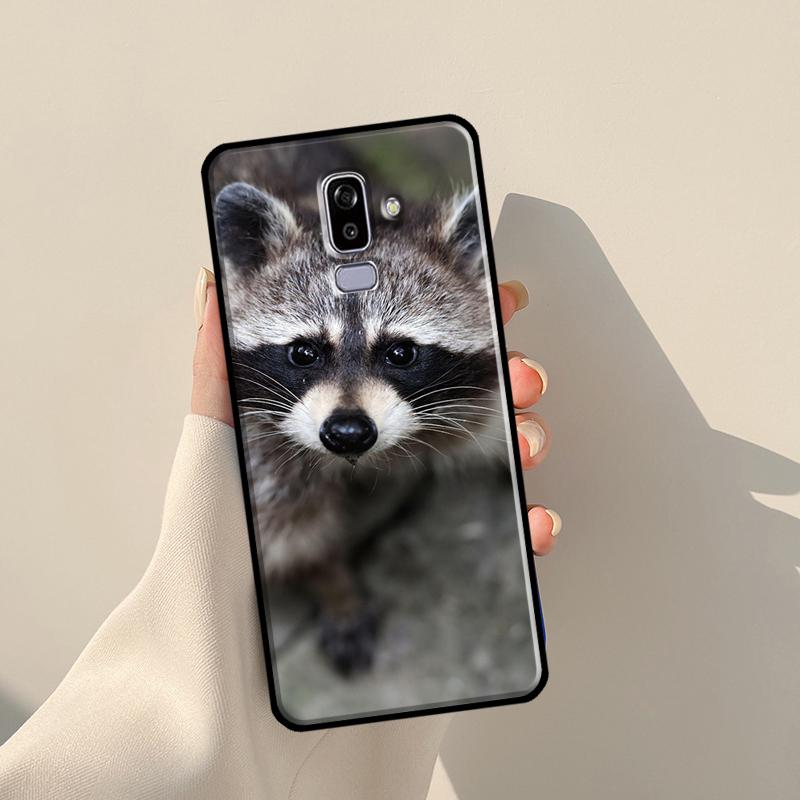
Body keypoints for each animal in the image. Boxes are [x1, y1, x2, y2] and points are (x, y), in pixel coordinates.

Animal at [214, 182, 507, 673]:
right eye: (304, 352)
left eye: (401, 353)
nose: (347, 432)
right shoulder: (261, 444)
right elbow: (291, 538)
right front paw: (333, 586)